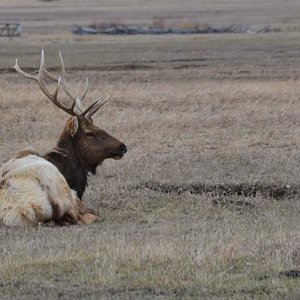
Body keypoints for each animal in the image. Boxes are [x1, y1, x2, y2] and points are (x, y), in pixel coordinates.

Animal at [0, 50, 126, 226]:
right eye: (89, 133)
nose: (123, 146)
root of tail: (21, 209)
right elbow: (93, 212)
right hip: (63, 193)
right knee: (80, 216)